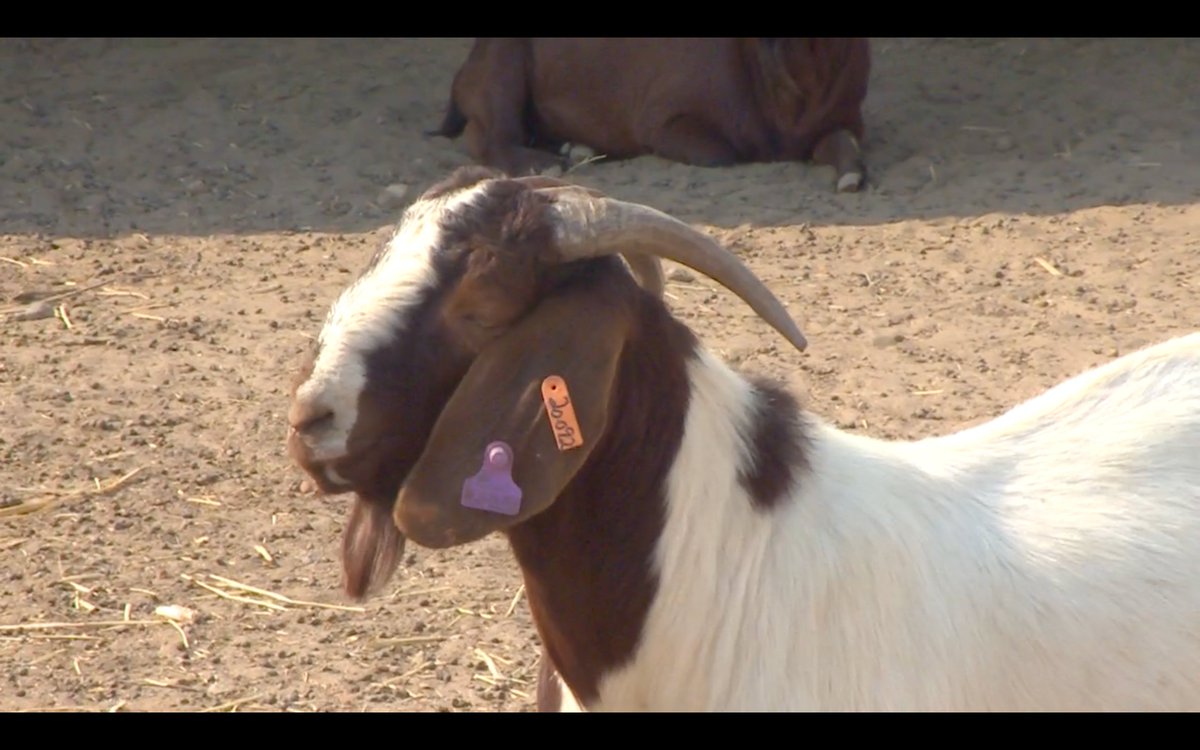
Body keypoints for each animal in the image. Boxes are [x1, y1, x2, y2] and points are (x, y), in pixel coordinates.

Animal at [429, 38, 871, 192]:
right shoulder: (666, 122)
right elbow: (724, 153)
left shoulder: (840, 123)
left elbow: (843, 145)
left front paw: (851, 176)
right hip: (505, 68)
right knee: (490, 136)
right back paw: (549, 163)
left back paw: (576, 149)